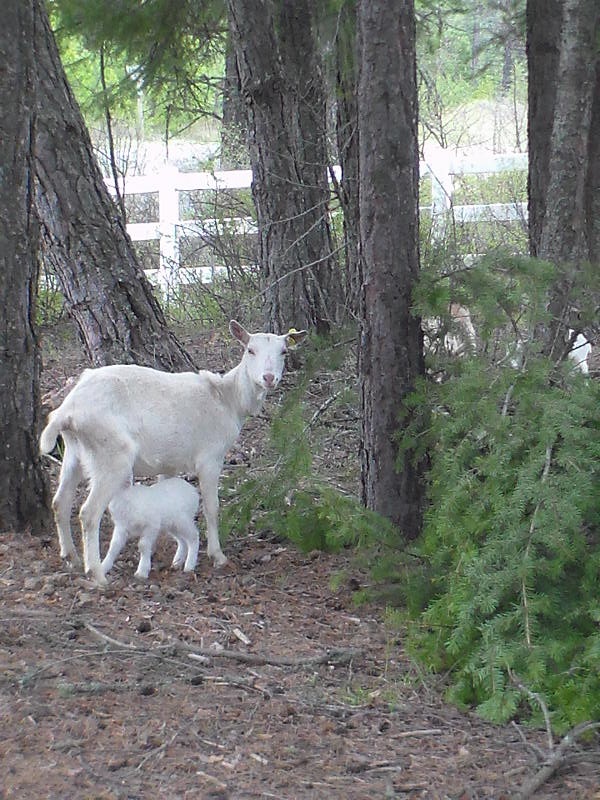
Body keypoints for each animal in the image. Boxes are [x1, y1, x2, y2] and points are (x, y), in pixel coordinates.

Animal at [40, 320, 308, 585]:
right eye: (250, 350)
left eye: (284, 351)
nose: (269, 377)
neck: (229, 400)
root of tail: (67, 411)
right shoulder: (211, 456)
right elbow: (212, 507)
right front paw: (217, 556)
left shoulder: (168, 461)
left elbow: (167, 496)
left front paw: (177, 558)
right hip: (111, 452)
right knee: (88, 512)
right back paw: (95, 572)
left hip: (74, 452)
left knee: (60, 502)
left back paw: (71, 557)